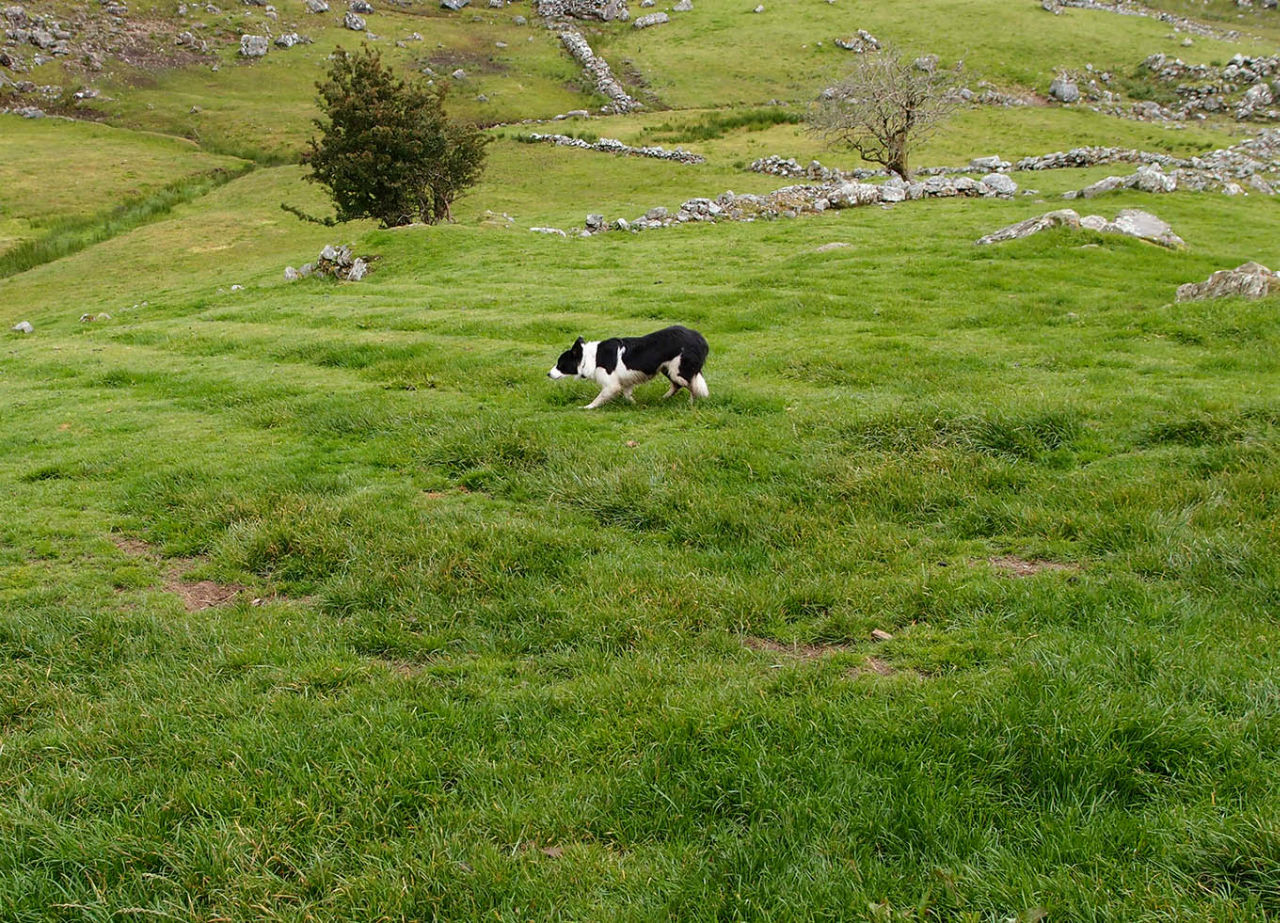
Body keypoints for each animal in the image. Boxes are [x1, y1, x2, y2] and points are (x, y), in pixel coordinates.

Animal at [550, 326, 711, 409]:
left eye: (560, 364)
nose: (548, 374)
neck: (590, 358)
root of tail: (699, 338)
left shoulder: (611, 385)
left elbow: (599, 398)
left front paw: (587, 407)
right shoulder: (626, 382)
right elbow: (628, 395)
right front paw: (635, 404)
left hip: (678, 370)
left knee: (691, 386)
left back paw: (690, 404)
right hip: (667, 369)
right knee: (678, 385)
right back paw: (663, 399)